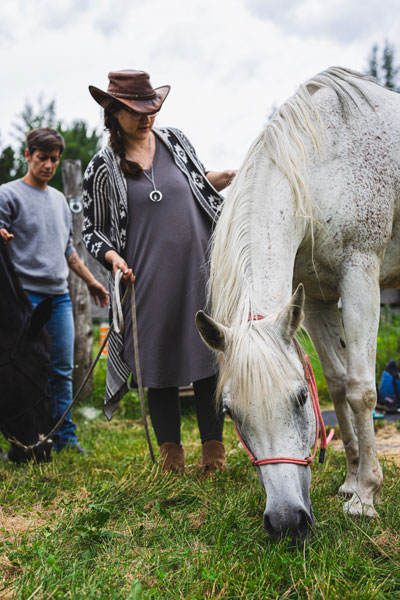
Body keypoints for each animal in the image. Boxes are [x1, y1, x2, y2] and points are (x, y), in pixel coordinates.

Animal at [196, 69, 400, 540]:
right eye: (230, 412)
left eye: (300, 398)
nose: (287, 522)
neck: (320, 166)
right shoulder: (320, 297)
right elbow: (339, 384)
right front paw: (350, 481)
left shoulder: (360, 274)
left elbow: (361, 389)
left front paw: (366, 496)